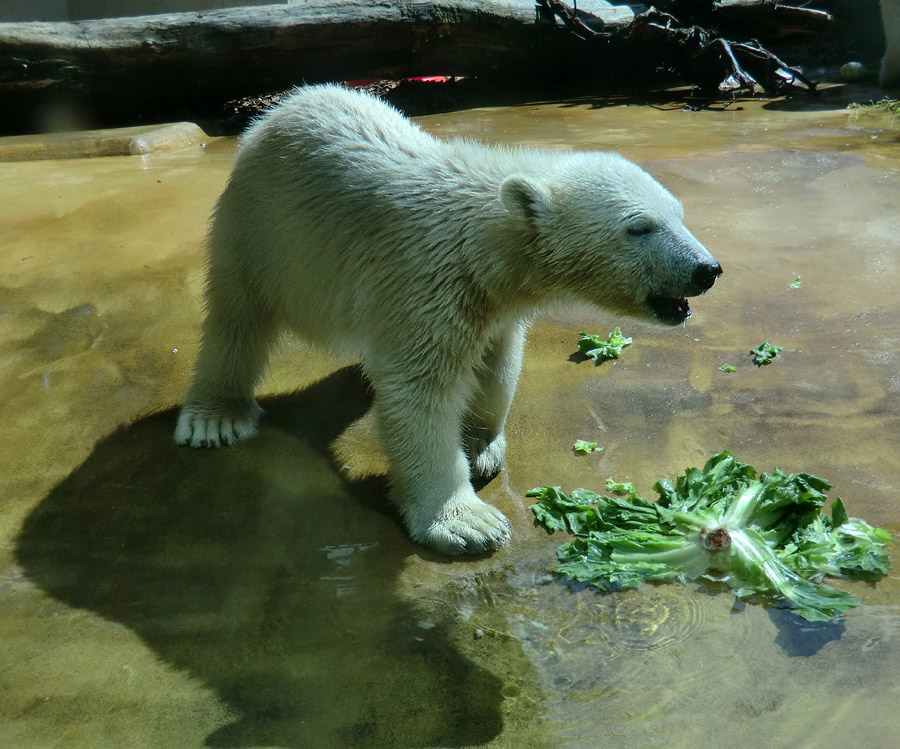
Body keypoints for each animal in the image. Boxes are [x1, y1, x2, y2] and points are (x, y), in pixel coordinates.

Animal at [178, 86, 724, 556]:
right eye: (640, 227)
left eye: (679, 214)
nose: (707, 270)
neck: (481, 240)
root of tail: (279, 111)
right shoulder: (425, 278)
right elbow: (421, 393)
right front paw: (465, 522)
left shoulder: (488, 301)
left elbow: (496, 362)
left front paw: (481, 445)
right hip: (261, 230)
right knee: (236, 317)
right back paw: (216, 416)